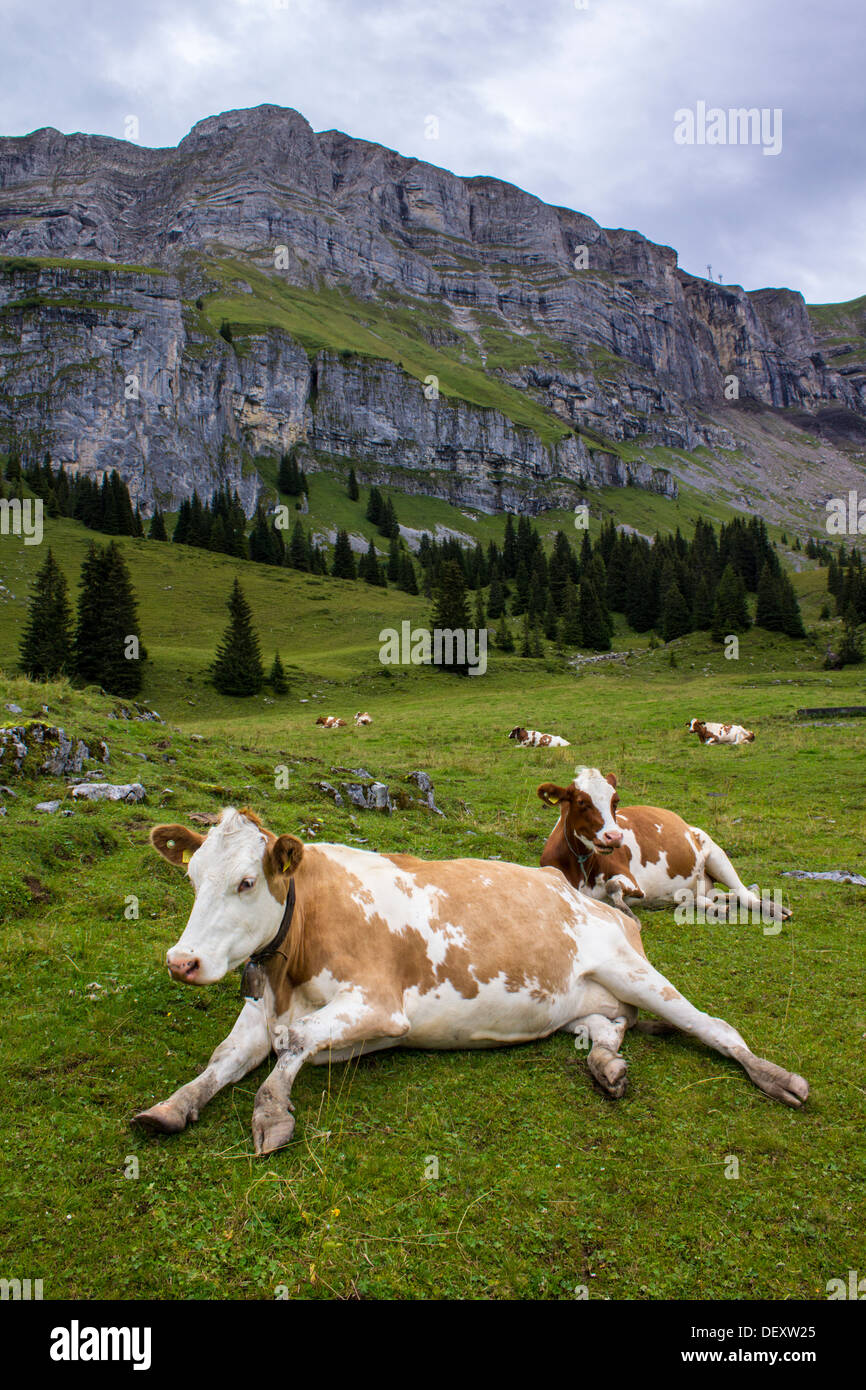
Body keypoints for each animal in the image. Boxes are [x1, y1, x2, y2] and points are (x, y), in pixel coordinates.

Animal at [132, 811, 811, 1156]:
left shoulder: (380, 1005)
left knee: (715, 1026)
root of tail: (593, 895)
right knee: (606, 1026)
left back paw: (776, 1077)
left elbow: (291, 1044)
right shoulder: (263, 1006)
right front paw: (173, 1104)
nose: (181, 961)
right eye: (191, 877)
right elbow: (225, 1058)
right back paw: (607, 1067)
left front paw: (272, 1110)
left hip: (633, 970)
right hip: (581, 996)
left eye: (247, 882)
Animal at [539, 772, 789, 922]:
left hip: (717, 855)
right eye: (581, 801)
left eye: (615, 801)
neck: (580, 868)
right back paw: (715, 907)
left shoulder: (630, 879)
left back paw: (775, 910)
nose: (614, 837)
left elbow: (612, 885)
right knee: (704, 898)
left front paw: (627, 911)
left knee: (745, 895)